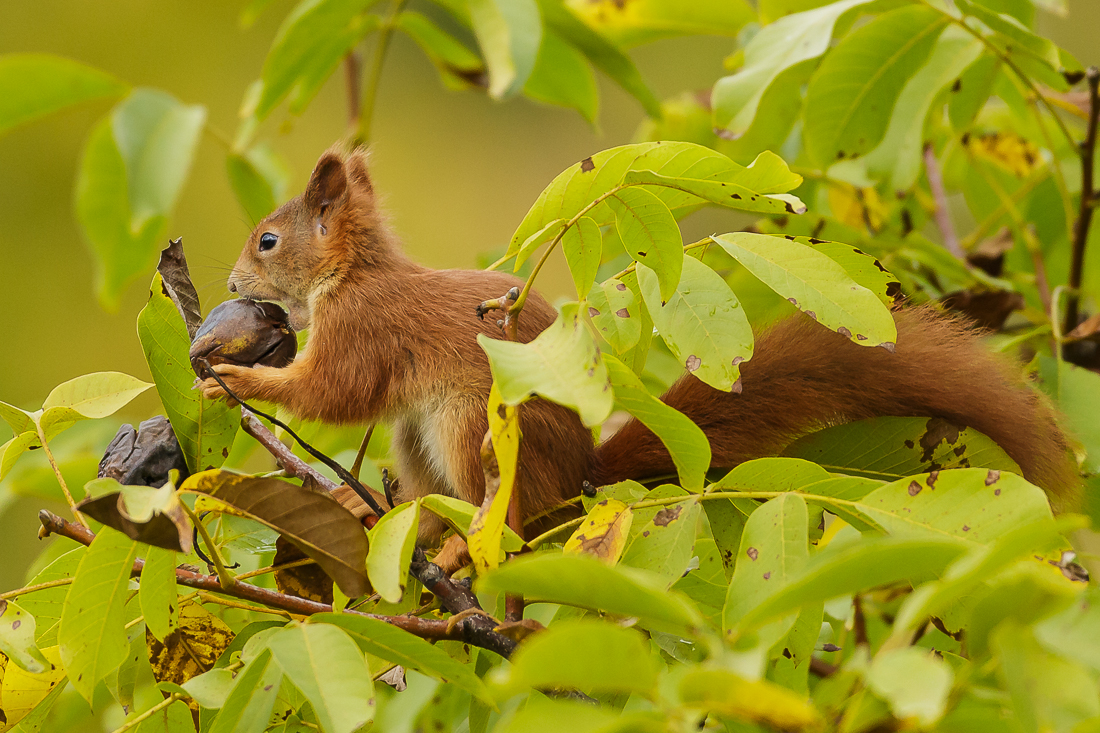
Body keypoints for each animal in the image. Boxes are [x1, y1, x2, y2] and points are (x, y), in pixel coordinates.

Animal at [204, 147, 1082, 559]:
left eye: (269, 240)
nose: (232, 280)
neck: (351, 275)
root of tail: (578, 476)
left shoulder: (364, 327)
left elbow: (333, 391)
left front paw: (235, 374)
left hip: (469, 425)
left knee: (508, 518)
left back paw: (459, 542)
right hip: (419, 439)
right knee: (427, 493)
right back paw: (384, 514)